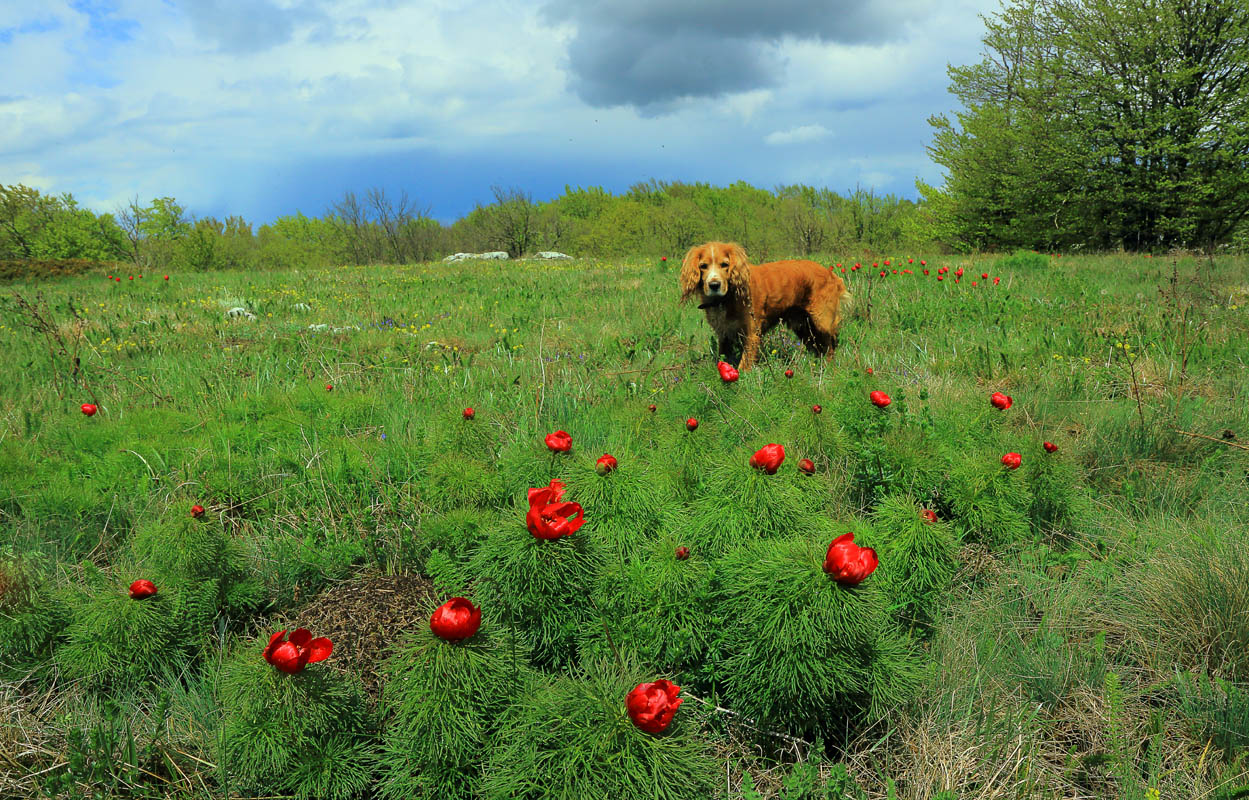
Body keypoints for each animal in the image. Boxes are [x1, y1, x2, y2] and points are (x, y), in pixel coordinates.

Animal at [684, 239, 849, 371]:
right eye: (703, 266)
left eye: (725, 264)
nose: (714, 285)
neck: (728, 297)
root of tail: (832, 274)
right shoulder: (724, 333)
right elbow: (724, 357)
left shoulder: (752, 332)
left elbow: (744, 364)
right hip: (804, 328)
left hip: (822, 321)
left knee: (830, 347)